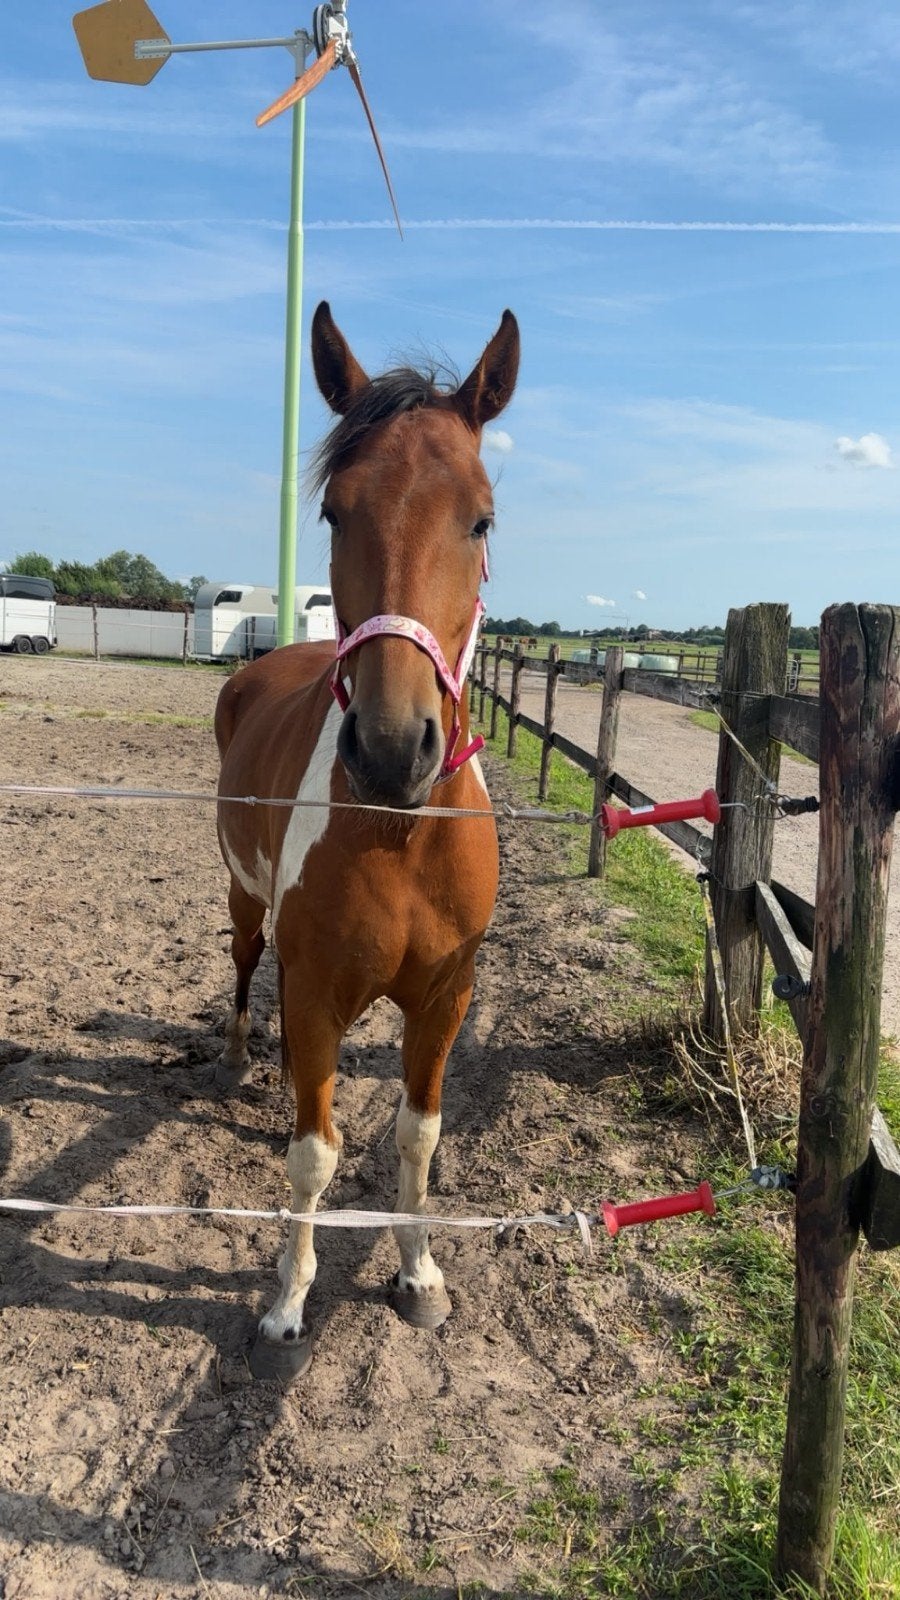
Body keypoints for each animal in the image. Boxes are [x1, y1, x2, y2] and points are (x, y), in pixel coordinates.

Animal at [215, 300, 520, 1378]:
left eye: (481, 517)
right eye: (335, 512)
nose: (392, 750)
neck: (400, 837)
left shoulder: (444, 998)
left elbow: (416, 1137)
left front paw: (419, 1273)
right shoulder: (316, 993)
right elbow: (317, 1151)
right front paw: (286, 1302)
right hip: (246, 899)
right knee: (245, 962)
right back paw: (236, 1055)